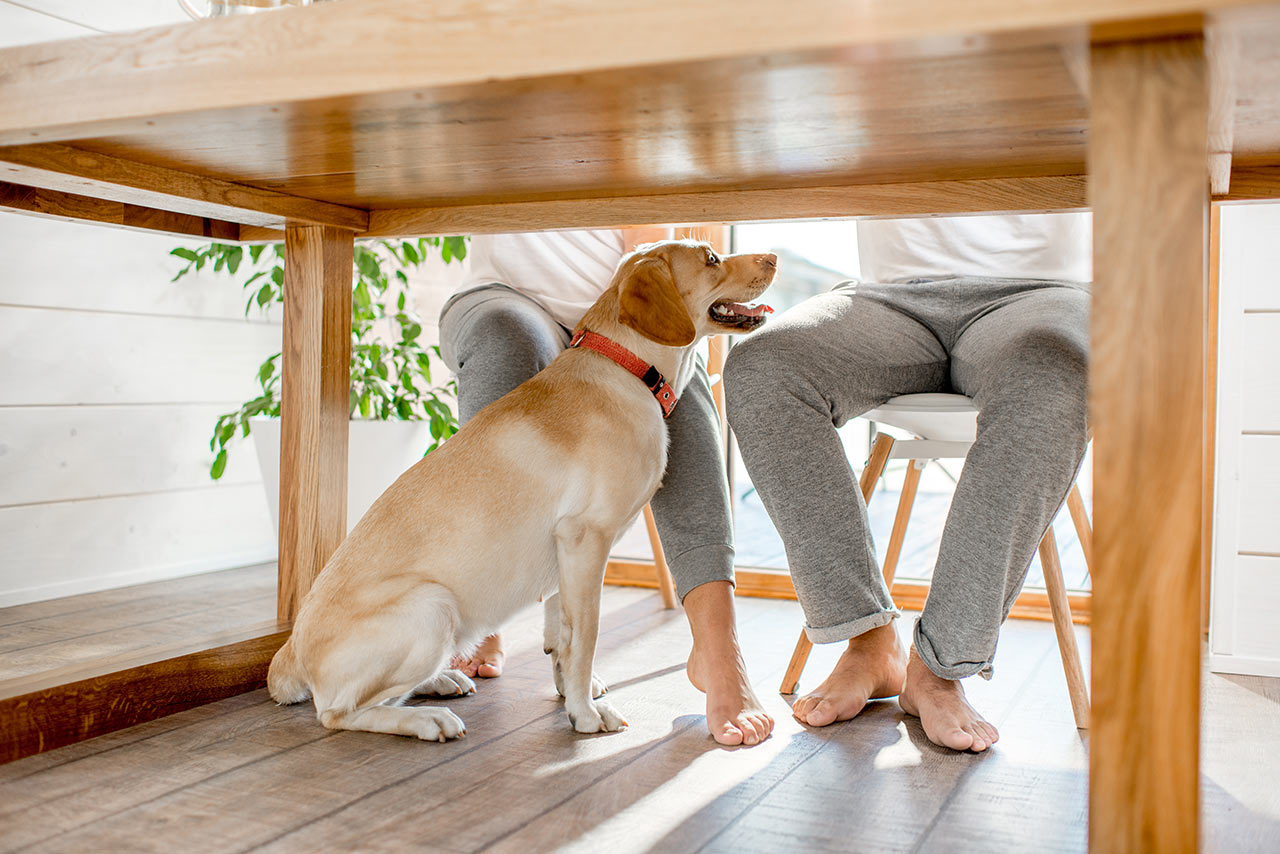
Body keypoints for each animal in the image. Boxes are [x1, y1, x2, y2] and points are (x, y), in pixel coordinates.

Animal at [264, 239, 773, 742]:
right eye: (711, 259)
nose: (772, 258)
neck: (624, 367)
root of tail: (290, 650)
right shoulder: (585, 540)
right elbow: (585, 638)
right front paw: (584, 714)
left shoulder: (566, 552)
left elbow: (563, 637)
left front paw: (571, 695)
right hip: (434, 606)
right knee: (339, 712)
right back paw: (426, 719)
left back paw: (440, 680)